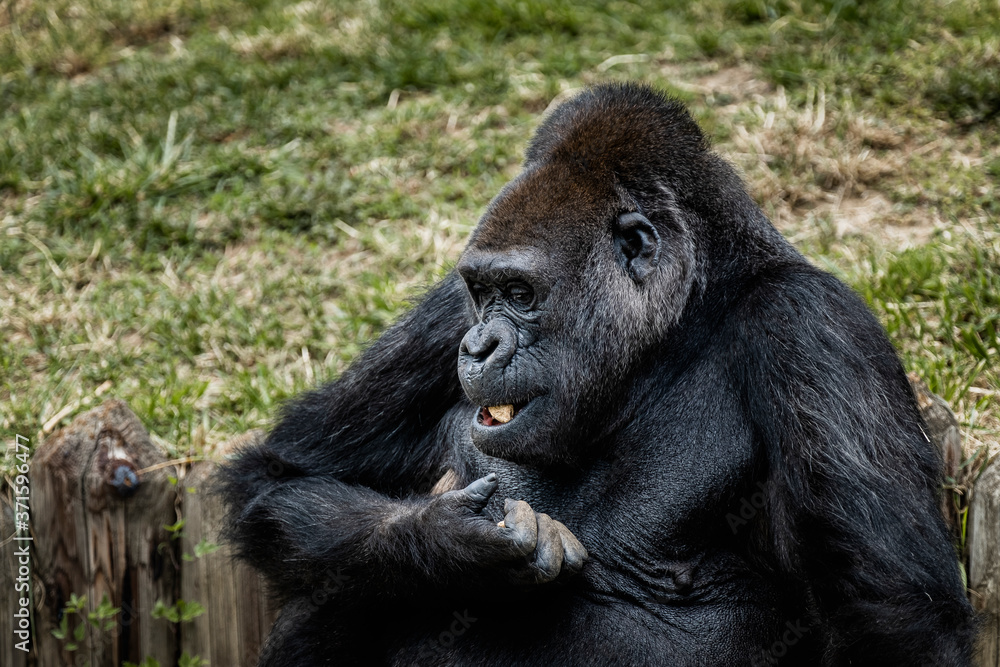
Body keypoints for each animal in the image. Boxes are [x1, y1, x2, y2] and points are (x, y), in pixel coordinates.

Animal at [221, 85, 976, 667]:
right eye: (481, 292)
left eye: (521, 294)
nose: (477, 346)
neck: (684, 317)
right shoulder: (443, 313)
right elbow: (280, 472)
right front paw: (454, 544)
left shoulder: (813, 326)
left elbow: (895, 615)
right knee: (344, 580)